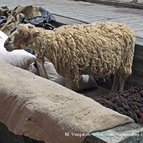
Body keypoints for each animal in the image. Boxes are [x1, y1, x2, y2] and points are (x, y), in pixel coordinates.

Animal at [3, 21, 135, 92]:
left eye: (24, 34)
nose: (6, 43)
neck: (53, 42)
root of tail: (125, 27)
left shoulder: (70, 73)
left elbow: (69, 89)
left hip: (126, 60)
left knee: (122, 78)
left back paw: (120, 93)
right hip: (119, 63)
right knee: (117, 77)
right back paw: (113, 92)